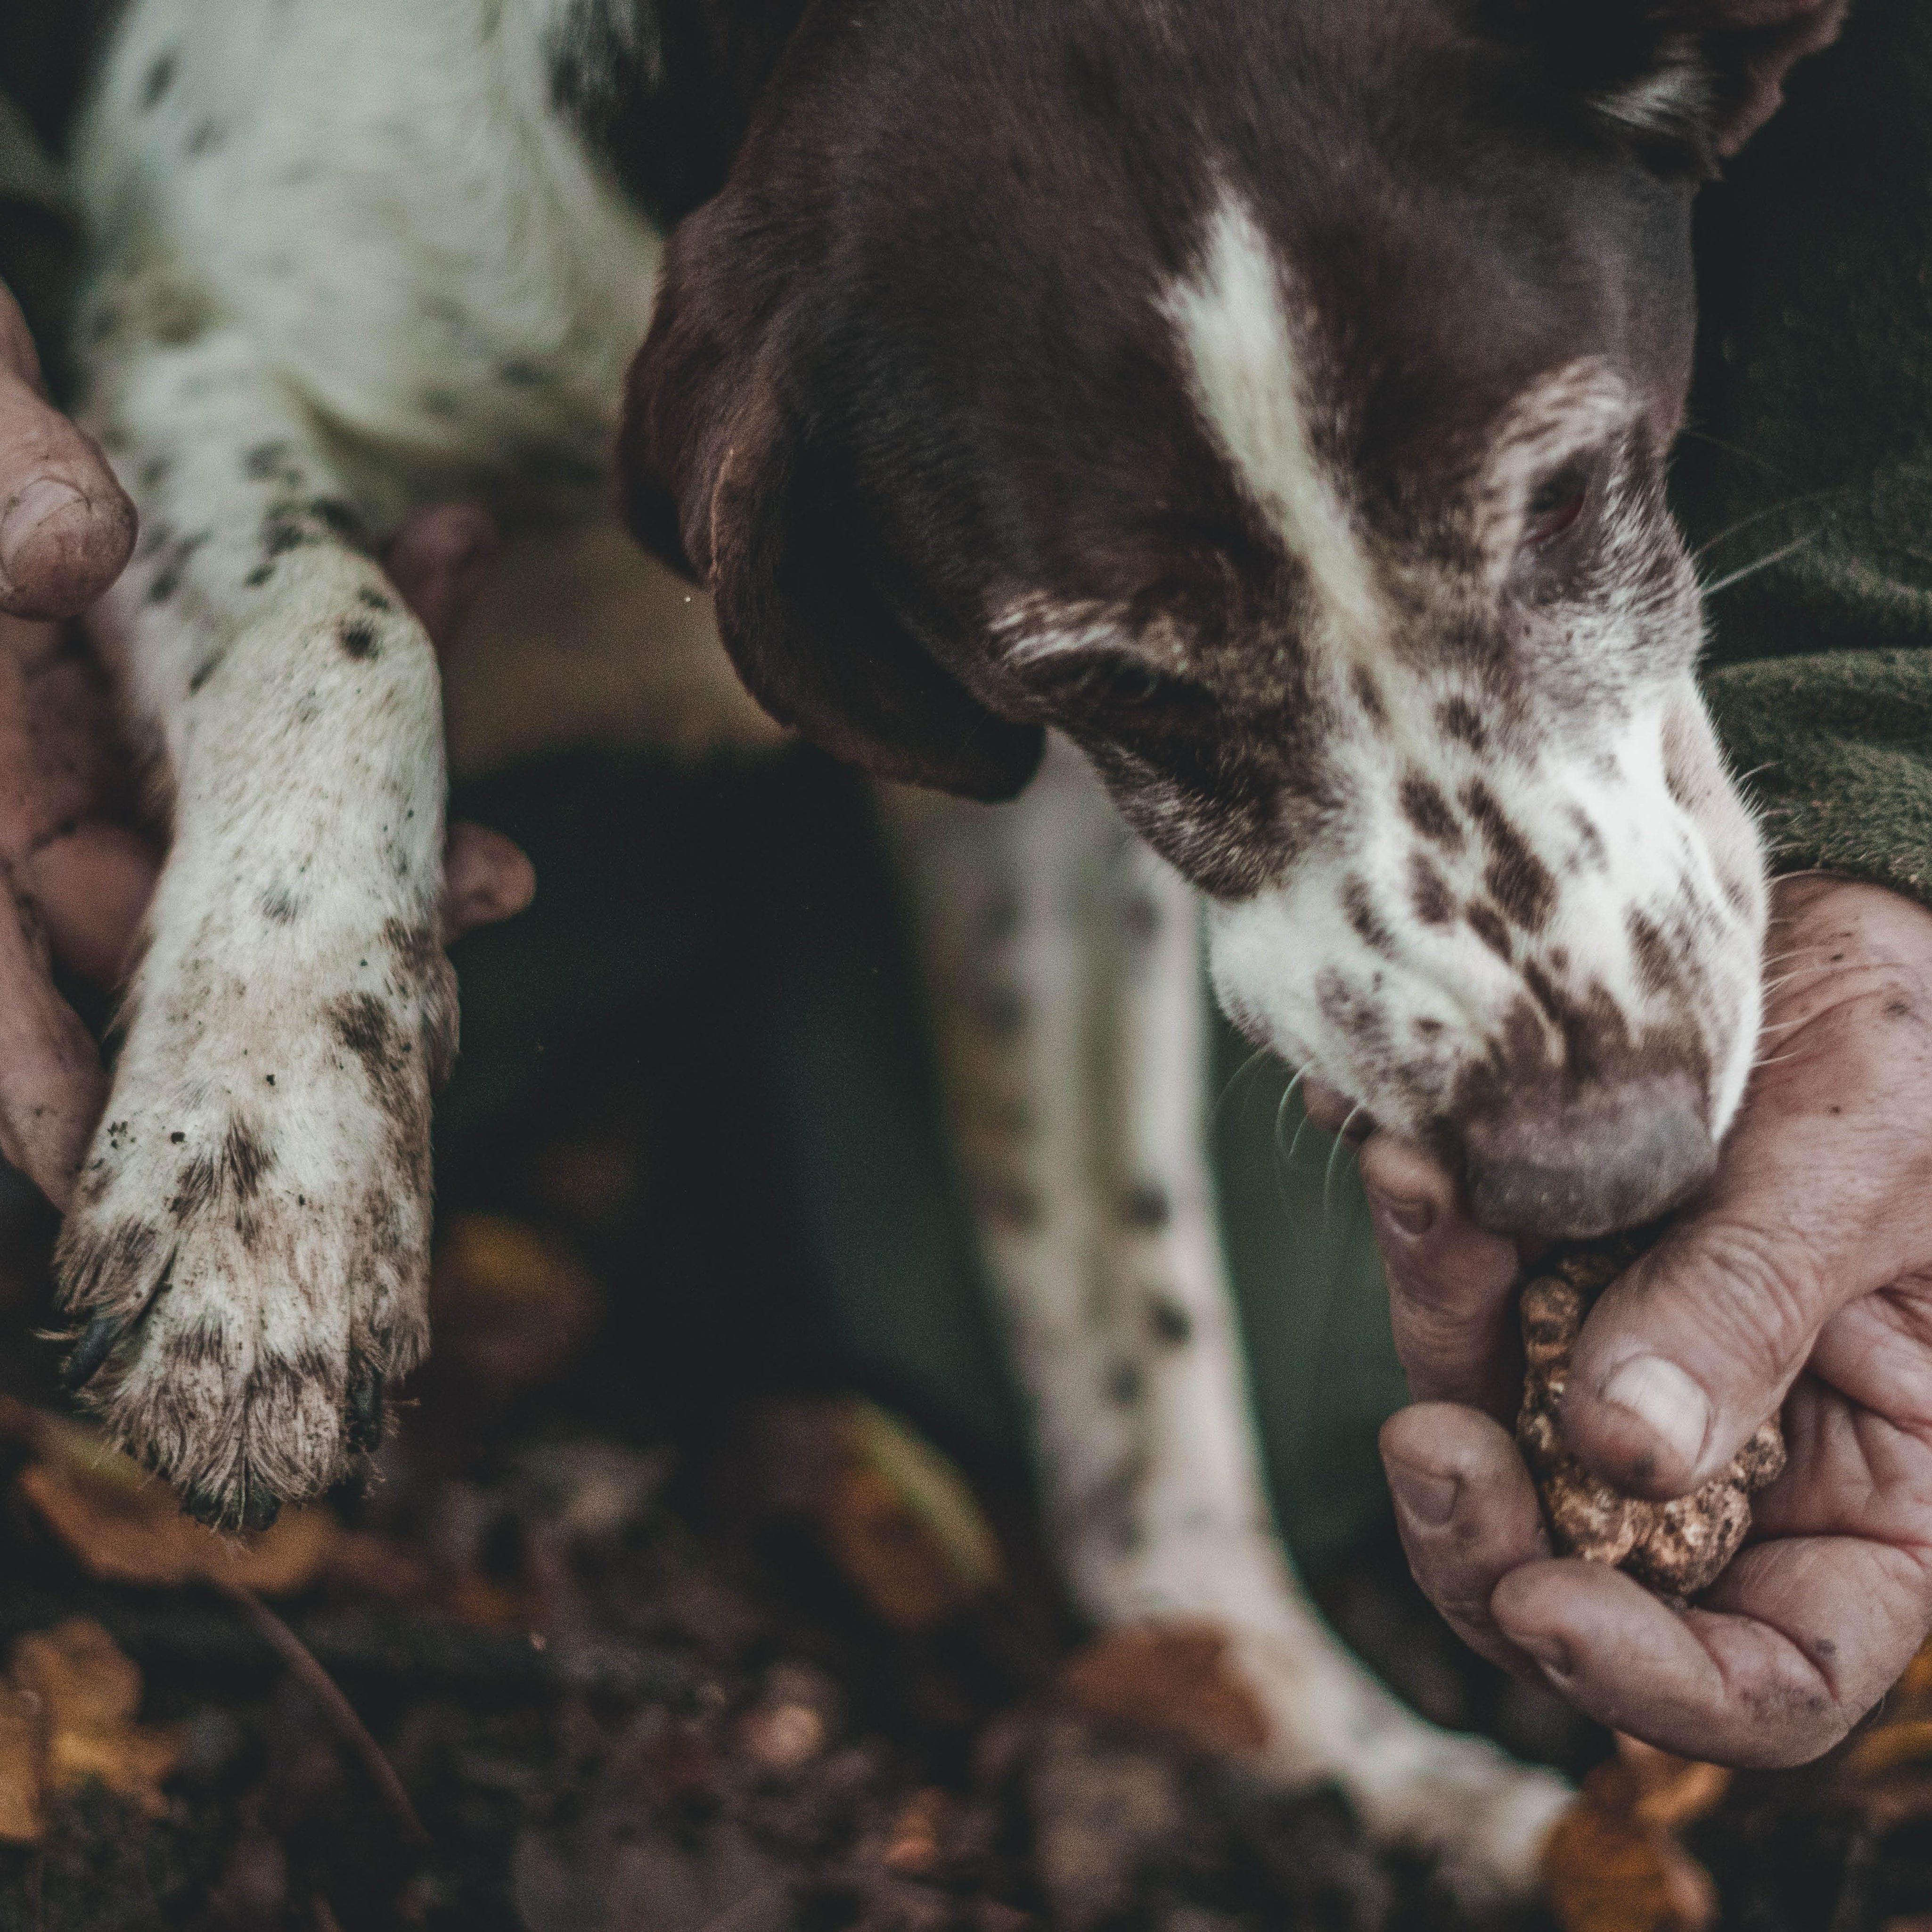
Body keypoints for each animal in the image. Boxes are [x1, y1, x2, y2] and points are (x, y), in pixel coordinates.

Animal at [56, 0, 1839, 1901]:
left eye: (1570, 489)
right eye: (1114, 680)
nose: (1602, 1168)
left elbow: (1132, 1325)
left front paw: (1284, 1721)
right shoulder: (180, 349)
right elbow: (339, 618)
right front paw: (263, 1172)